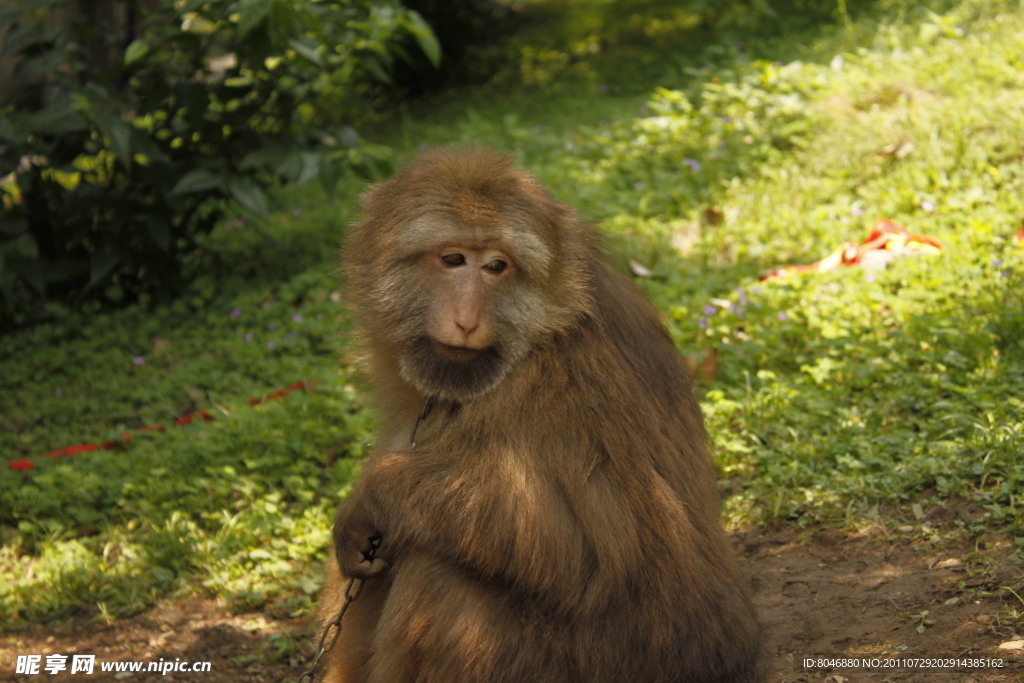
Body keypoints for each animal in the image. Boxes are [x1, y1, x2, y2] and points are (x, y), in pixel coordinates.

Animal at [315, 148, 765, 683]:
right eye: (453, 259)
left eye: (496, 266)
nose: (466, 319)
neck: (533, 341)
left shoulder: (570, 383)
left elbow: (588, 546)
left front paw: (373, 497)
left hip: (606, 661)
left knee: (438, 576)